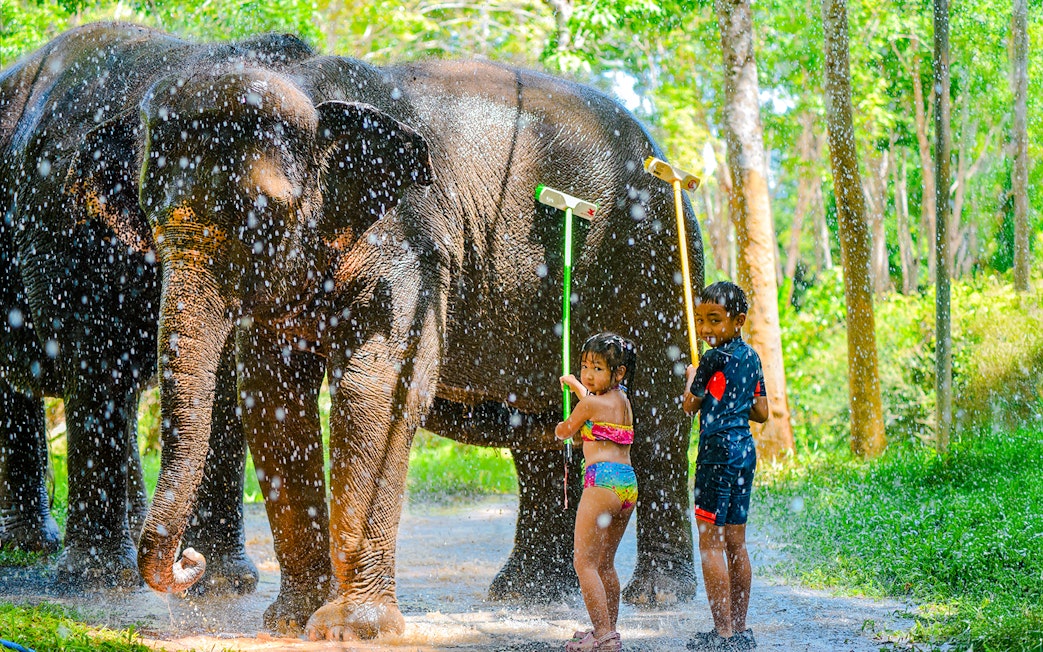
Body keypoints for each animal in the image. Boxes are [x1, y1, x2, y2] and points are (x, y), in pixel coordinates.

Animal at [0, 22, 432, 592]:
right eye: (148, 210)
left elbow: (227, 382)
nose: (188, 561)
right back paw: (40, 549)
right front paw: (94, 580)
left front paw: (225, 581)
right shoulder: (70, 236)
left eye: (265, 218)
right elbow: (97, 362)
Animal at [137, 53, 704, 639]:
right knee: (543, 429)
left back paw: (657, 596)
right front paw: (291, 622)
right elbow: (273, 401)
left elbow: (377, 393)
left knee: (656, 422)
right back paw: (528, 595)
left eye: (261, 213)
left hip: (653, 259)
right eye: (145, 209)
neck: (312, 86)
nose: (189, 560)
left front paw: (351, 630)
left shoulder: (412, 244)